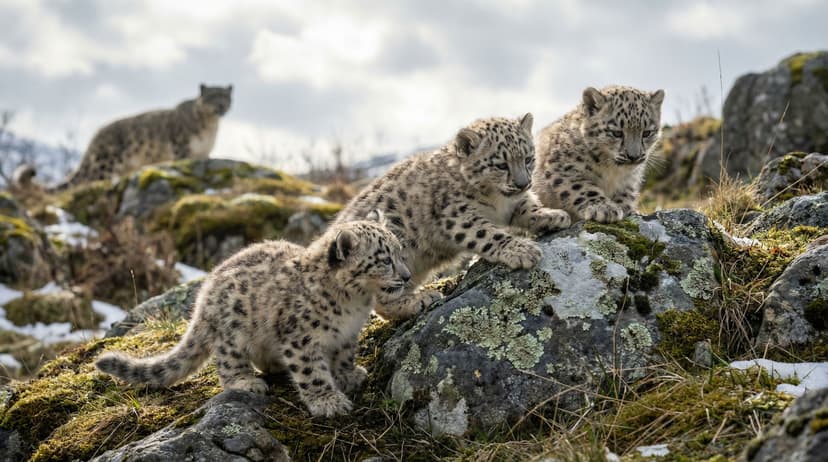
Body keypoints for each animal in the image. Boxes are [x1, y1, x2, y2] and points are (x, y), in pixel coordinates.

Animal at [13, 83, 232, 192]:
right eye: (212, 96)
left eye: (225, 97)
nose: (221, 106)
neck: (211, 127)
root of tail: (95, 137)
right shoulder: (183, 149)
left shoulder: (204, 153)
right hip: (105, 165)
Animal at [95, 211, 409, 417]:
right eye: (384, 259)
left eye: (400, 250)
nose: (407, 276)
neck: (354, 304)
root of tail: (204, 296)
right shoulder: (301, 338)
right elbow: (311, 372)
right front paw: (328, 401)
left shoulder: (347, 334)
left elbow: (344, 355)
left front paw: (347, 375)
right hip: (233, 331)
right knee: (226, 359)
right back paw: (246, 381)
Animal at [334, 113, 571, 321]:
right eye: (501, 165)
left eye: (529, 158)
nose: (523, 184)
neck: (496, 201)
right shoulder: (457, 215)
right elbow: (488, 234)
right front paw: (521, 250)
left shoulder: (513, 204)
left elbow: (528, 206)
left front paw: (553, 215)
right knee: (382, 301)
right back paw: (419, 300)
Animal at [533, 85, 665, 223]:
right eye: (617, 133)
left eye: (647, 133)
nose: (634, 156)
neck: (612, 171)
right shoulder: (562, 168)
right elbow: (581, 188)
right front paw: (603, 208)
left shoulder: (630, 180)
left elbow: (627, 195)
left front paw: (625, 208)